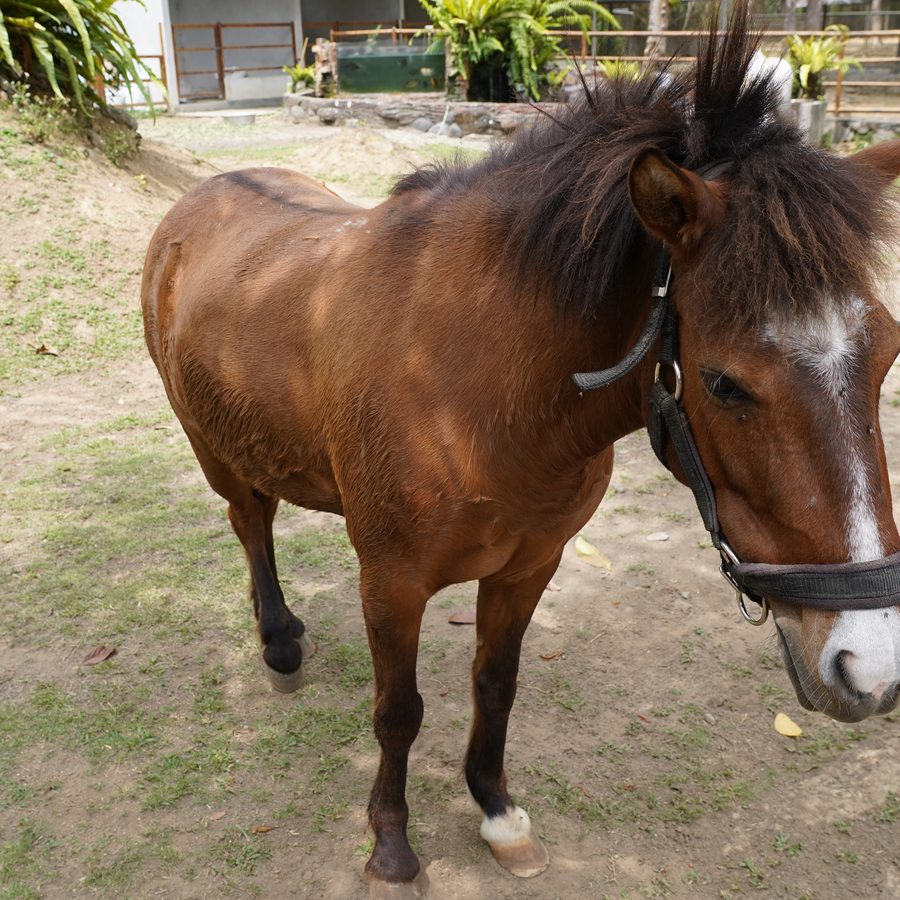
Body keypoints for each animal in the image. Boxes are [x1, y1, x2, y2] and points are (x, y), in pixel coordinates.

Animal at [141, 4, 900, 895]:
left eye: (888, 354)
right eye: (723, 384)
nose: (870, 667)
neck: (474, 383)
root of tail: (198, 201)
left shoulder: (529, 564)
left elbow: (495, 687)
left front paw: (497, 812)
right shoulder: (391, 582)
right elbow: (398, 712)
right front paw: (391, 843)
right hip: (213, 449)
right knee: (251, 524)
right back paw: (278, 639)